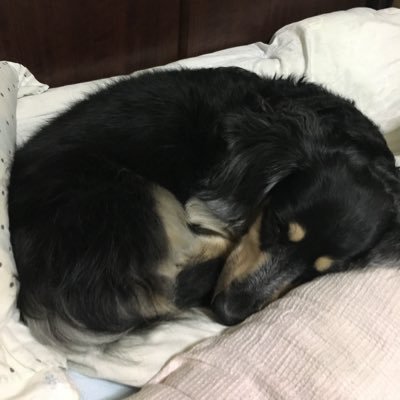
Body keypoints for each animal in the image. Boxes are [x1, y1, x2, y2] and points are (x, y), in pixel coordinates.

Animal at [8, 67, 400, 350]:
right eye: (274, 224)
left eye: (318, 273)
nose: (227, 313)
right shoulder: (206, 202)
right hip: (135, 194)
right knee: (170, 281)